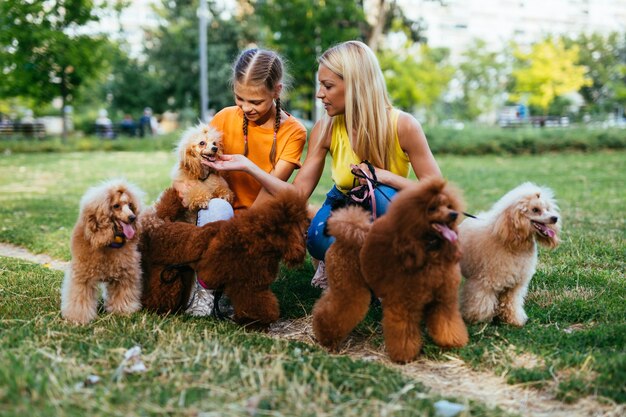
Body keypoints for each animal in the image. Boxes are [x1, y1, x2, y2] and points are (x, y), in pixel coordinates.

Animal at [61, 177, 144, 324]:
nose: (132, 217)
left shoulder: (125, 273)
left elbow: (123, 292)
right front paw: (78, 318)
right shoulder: (82, 275)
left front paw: (123, 310)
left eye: (130, 205)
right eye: (116, 206)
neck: (109, 241)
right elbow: (80, 295)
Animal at [314, 177, 466, 362]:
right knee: (337, 310)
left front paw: (452, 342)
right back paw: (326, 338)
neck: (429, 254)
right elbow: (403, 331)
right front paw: (404, 355)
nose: (454, 214)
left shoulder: (444, 301)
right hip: (349, 286)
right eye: (432, 208)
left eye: (449, 206)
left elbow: (447, 323)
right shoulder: (402, 304)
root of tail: (348, 233)